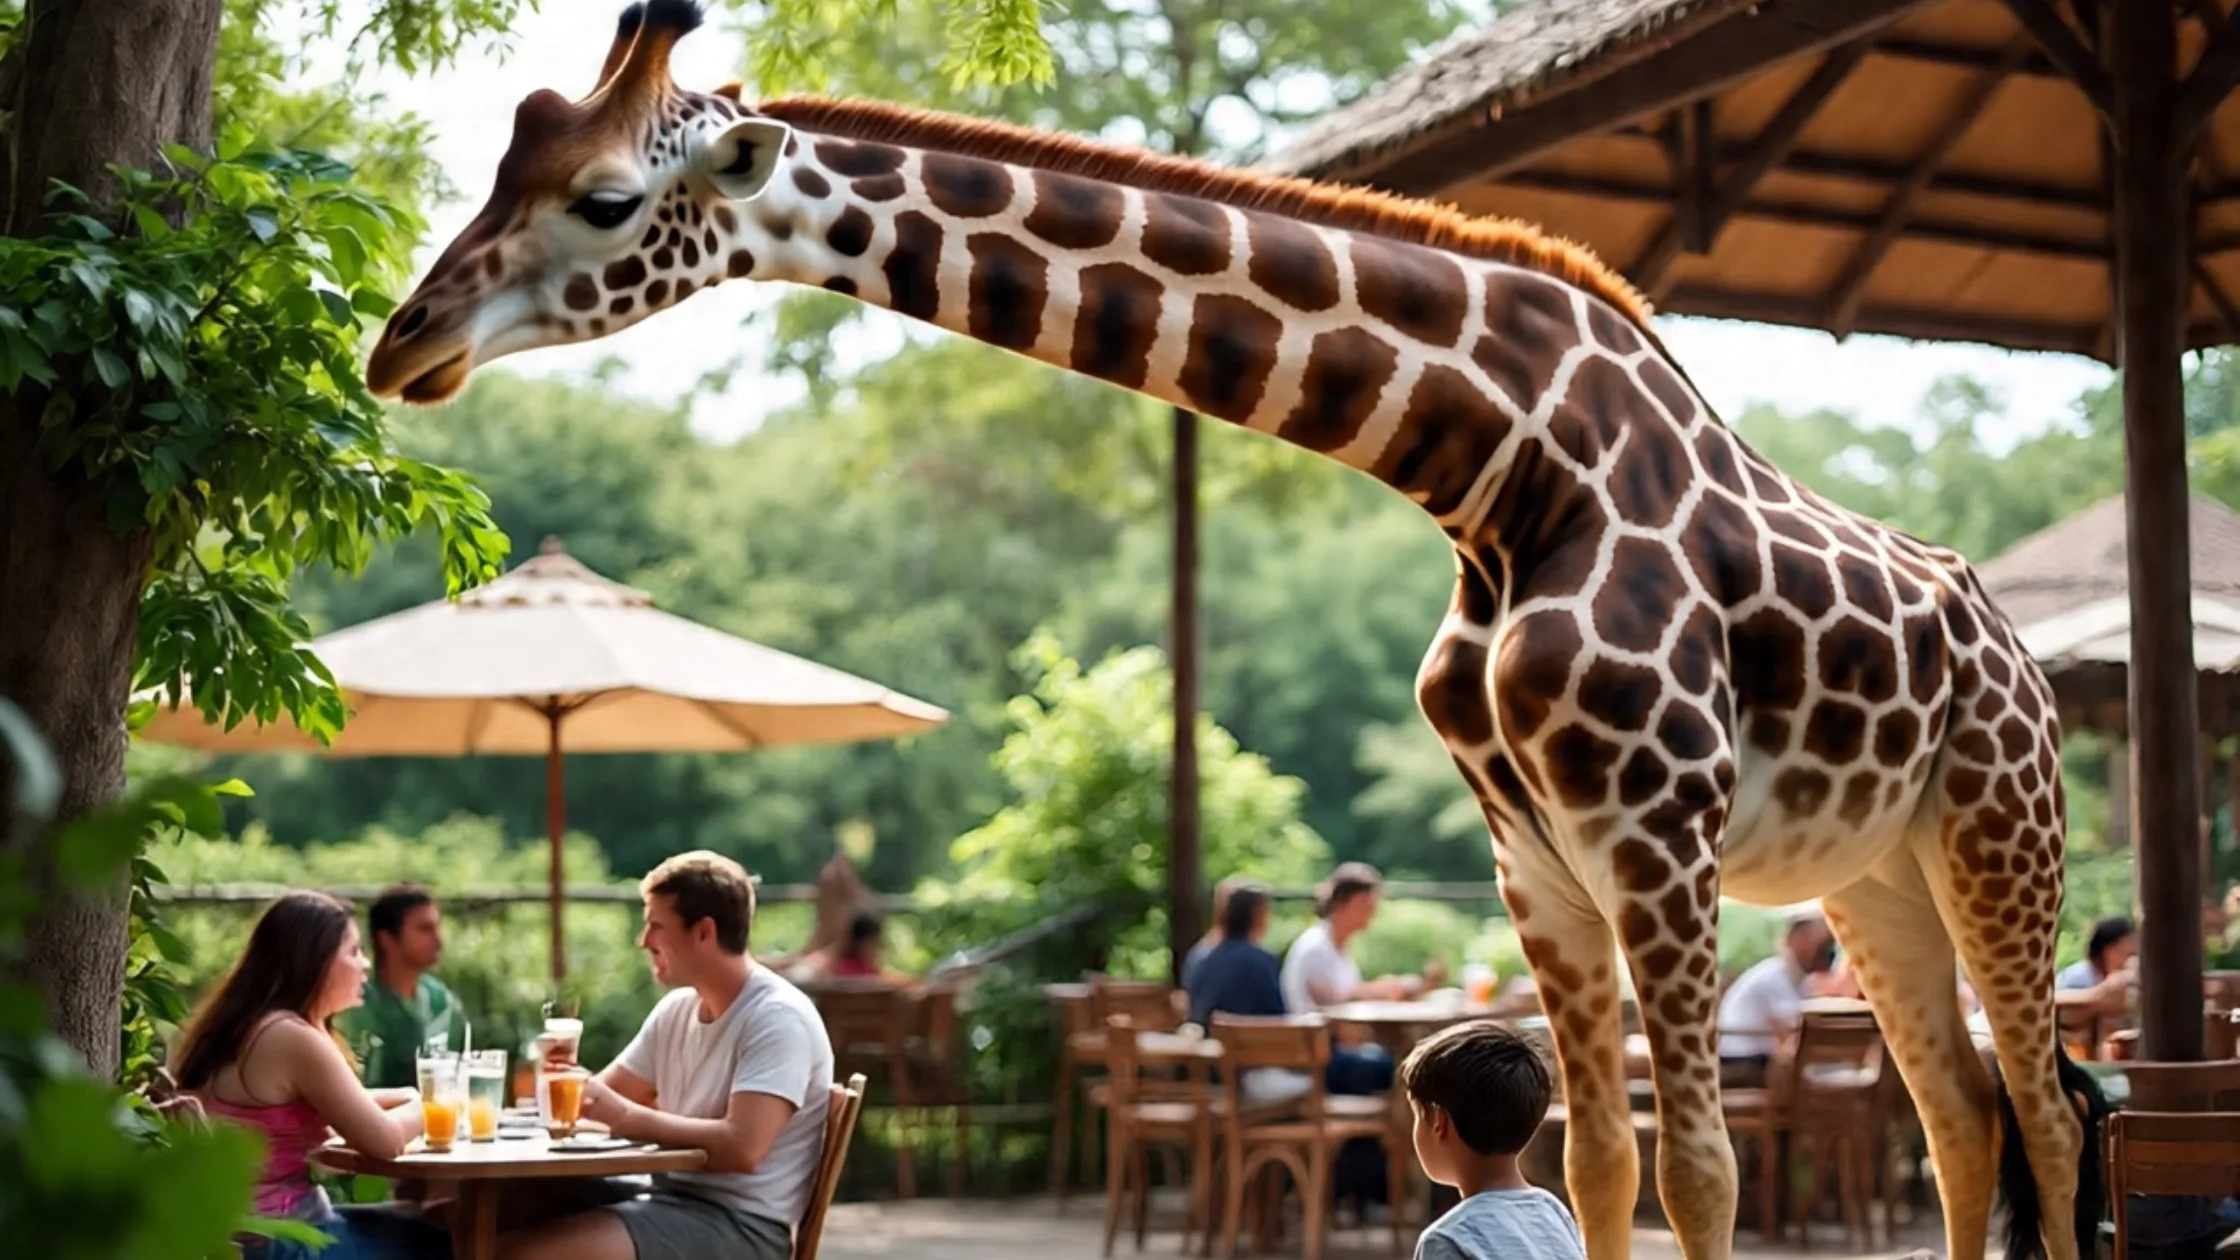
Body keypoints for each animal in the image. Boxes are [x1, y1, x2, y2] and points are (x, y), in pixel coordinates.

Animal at [364, 3, 2104, 1257]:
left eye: (602, 199)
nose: (403, 342)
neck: (1505, 471)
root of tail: (2021, 663)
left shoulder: (1657, 839)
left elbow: (1702, 1174)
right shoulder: (1539, 859)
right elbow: (1601, 1166)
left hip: (1998, 833)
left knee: (2044, 1112)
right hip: (1875, 873)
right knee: (1961, 1120)